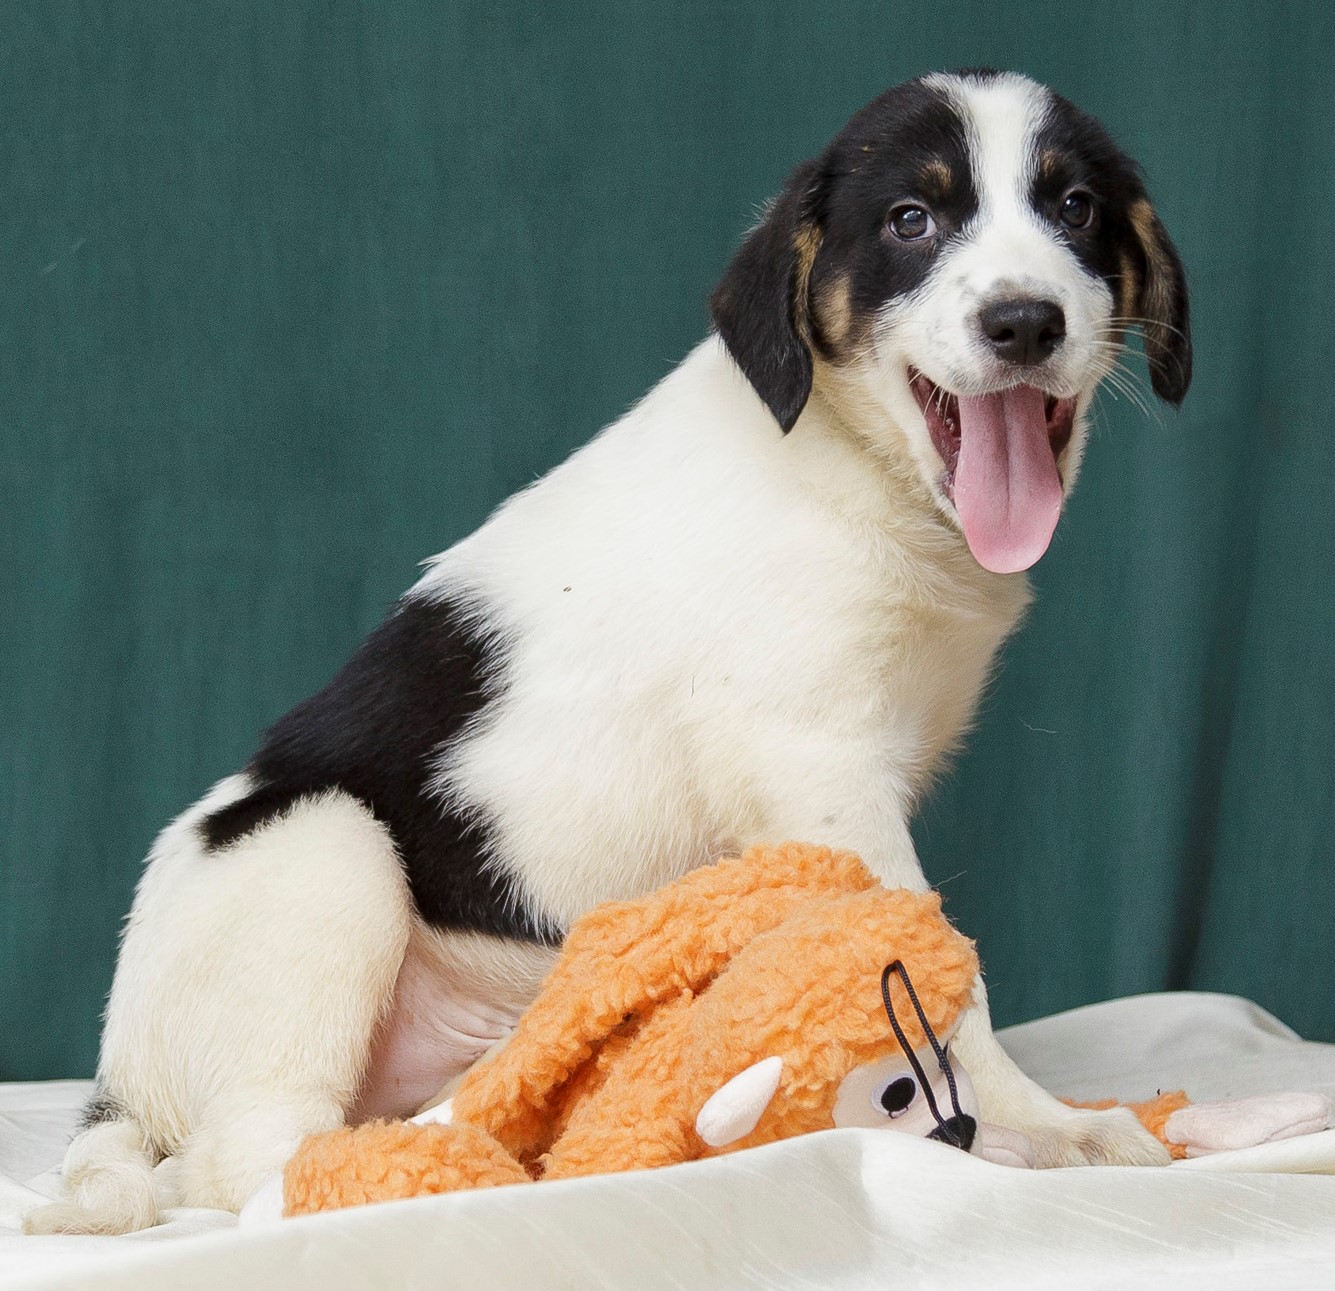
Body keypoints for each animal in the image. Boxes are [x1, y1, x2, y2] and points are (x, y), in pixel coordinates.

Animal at [28, 68, 1190, 1233]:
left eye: (1075, 208)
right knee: (231, 1162)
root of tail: (116, 1080)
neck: (855, 467)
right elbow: (942, 968)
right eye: (912, 220)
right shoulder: (822, 767)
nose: (1024, 321)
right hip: (322, 847)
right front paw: (1041, 1125)